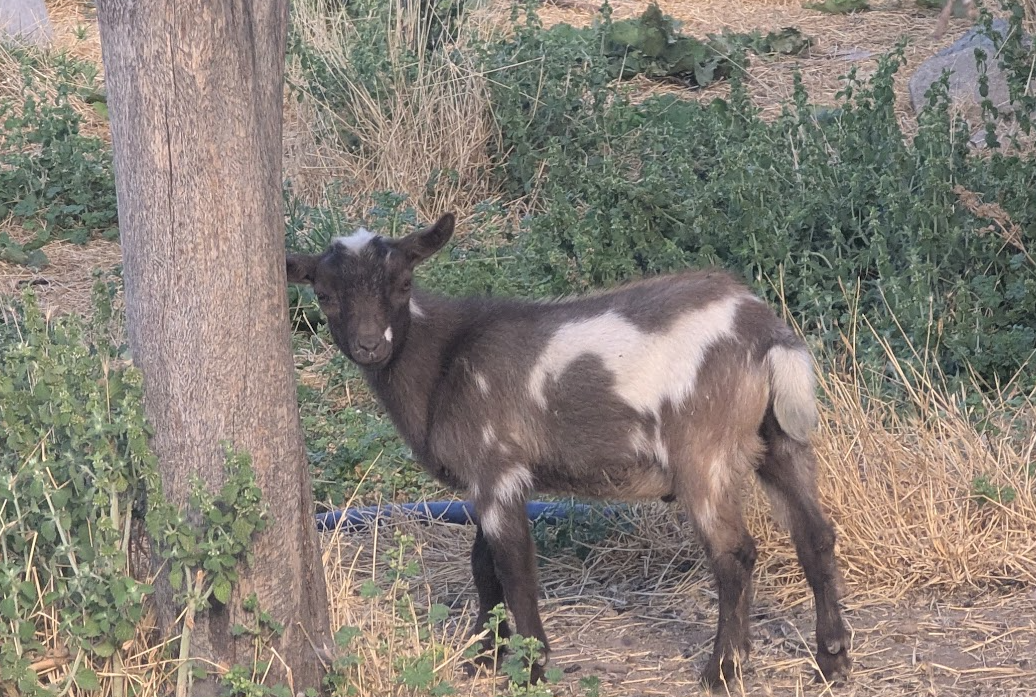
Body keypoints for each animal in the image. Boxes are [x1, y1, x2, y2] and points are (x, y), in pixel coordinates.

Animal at [285, 213, 852, 687]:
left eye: (403, 284)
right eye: (325, 294)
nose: (369, 345)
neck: (446, 357)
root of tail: (764, 332)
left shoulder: (497, 468)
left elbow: (514, 568)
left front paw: (532, 667)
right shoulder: (490, 479)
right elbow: (483, 566)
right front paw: (485, 657)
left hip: (702, 449)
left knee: (734, 553)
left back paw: (723, 670)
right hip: (779, 438)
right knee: (815, 535)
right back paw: (833, 659)